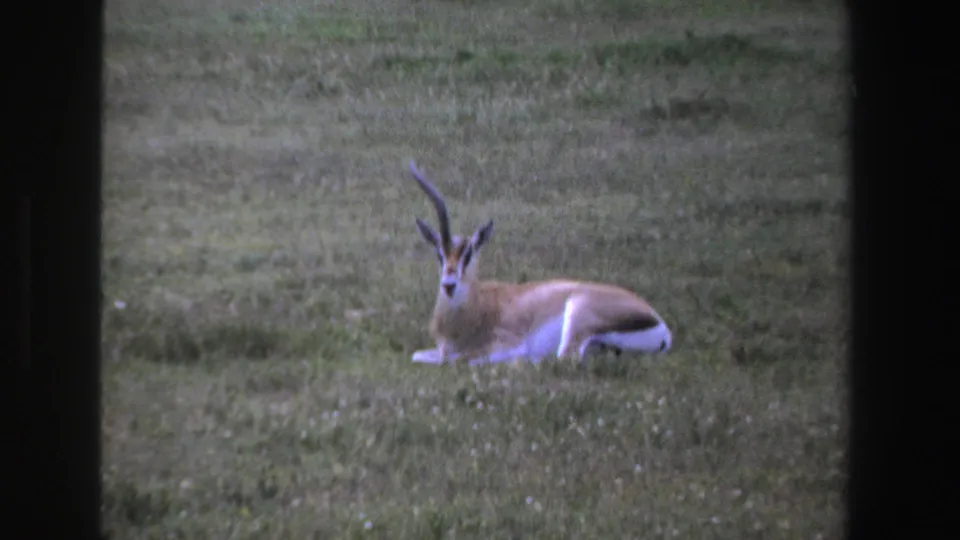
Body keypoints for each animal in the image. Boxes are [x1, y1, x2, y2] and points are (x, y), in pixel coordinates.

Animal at [407, 160, 673, 366]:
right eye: (439, 254)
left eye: (468, 254)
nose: (449, 285)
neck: (478, 306)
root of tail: (659, 324)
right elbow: (418, 355)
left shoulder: (507, 344)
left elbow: (458, 360)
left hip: (577, 314)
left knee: (564, 358)